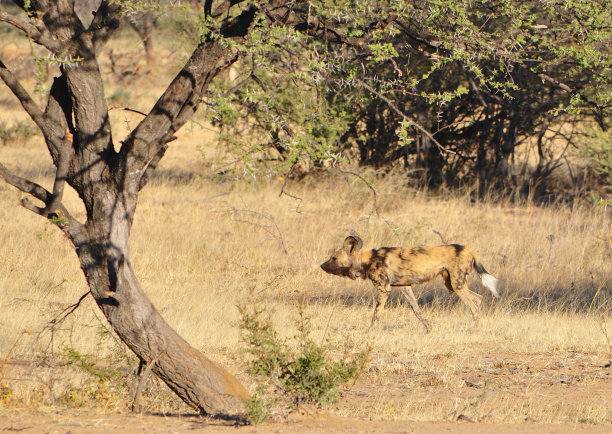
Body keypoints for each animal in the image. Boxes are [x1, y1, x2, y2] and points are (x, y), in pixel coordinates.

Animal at [320, 234, 498, 332]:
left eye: (333, 258)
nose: (321, 266)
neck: (367, 259)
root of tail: (468, 248)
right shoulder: (405, 288)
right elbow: (417, 311)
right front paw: (428, 329)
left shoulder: (384, 290)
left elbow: (376, 315)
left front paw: (369, 332)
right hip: (452, 284)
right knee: (478, 300)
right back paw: (474, 327)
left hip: (457, 285)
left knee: (474, 308)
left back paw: (473, 329)